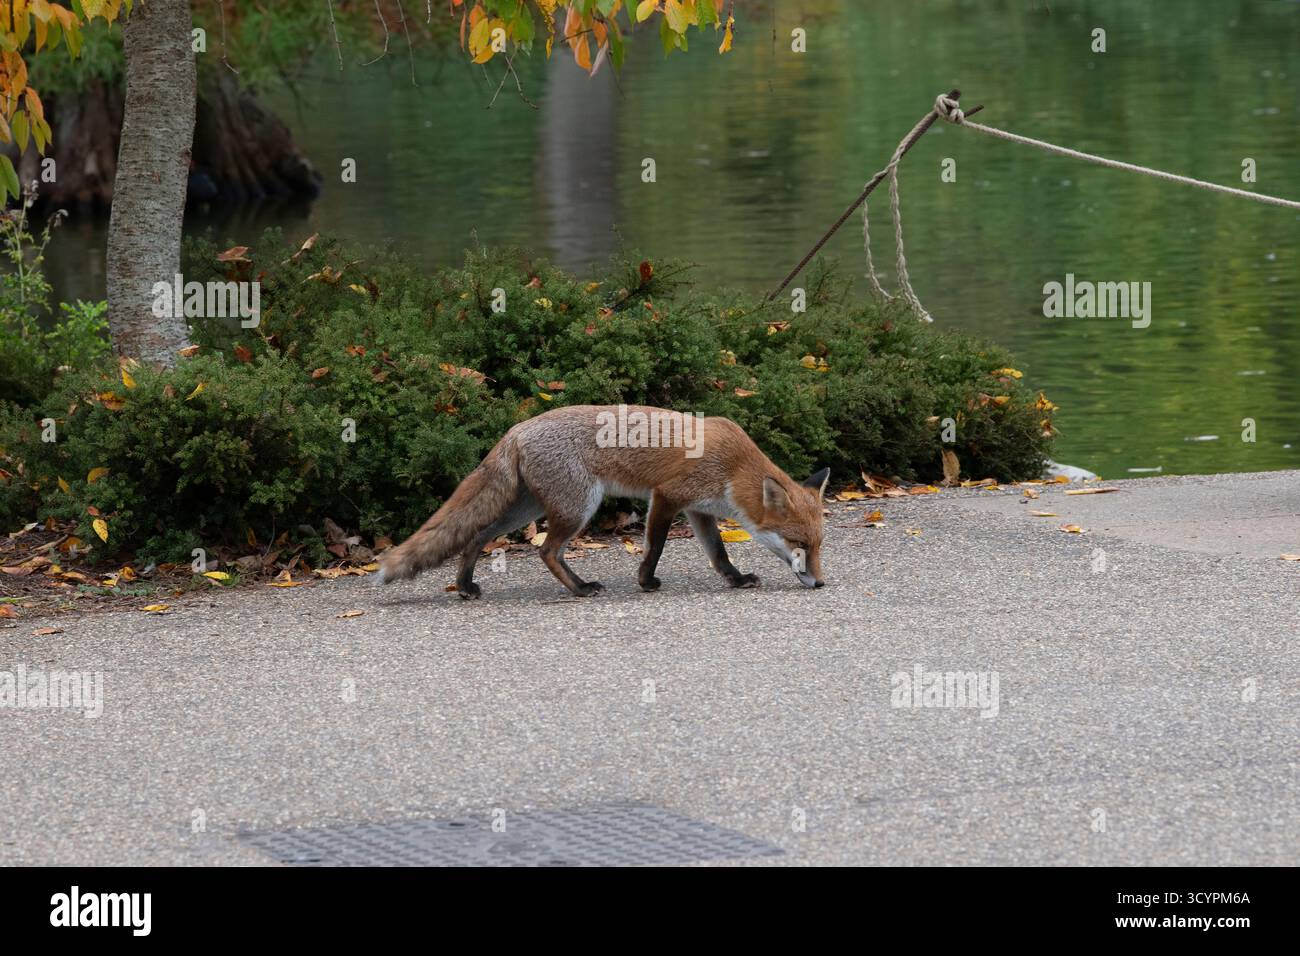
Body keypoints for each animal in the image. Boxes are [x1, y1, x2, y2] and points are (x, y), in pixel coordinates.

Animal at [377, 404, 829, 598]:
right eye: (799, 544)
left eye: (819, 545)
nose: (821, 582)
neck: (734, 468)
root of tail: (518, 427)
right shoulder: (667, 495)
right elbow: (655, 547)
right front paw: (646, 582)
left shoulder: (698, 508)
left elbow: (719, 554)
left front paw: (736, 580)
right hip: (579, 507)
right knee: (547, 552)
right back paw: (580, 588)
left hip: (527, 509)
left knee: (475, 537)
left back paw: (466, 586)